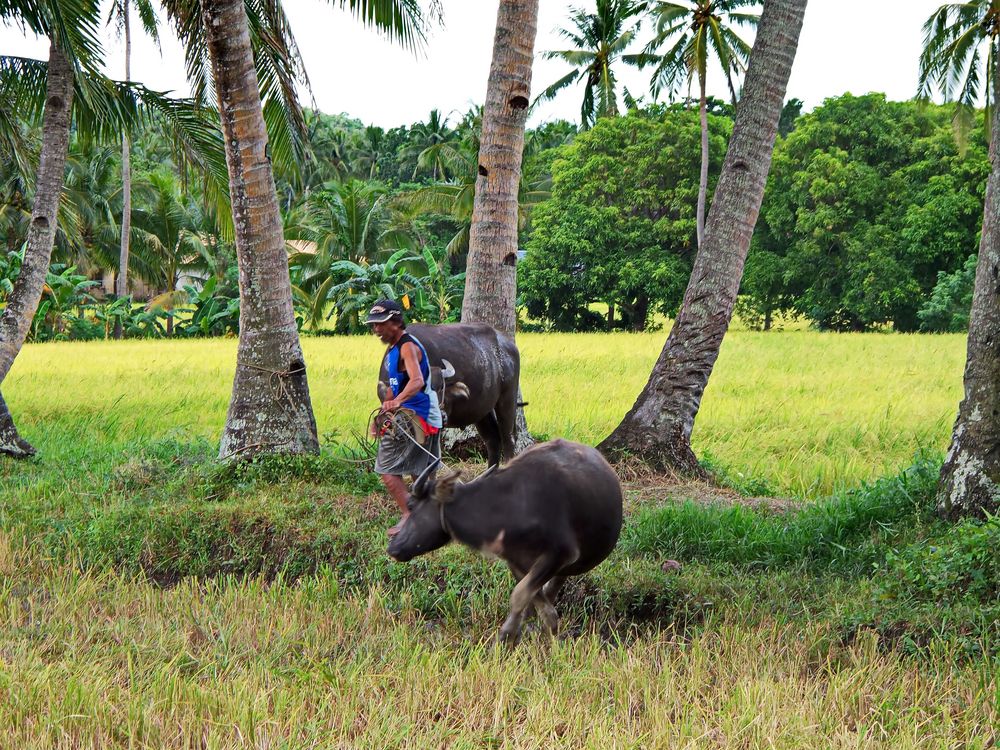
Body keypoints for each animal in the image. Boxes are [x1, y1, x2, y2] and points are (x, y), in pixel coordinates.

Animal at [374, 322, 520, 468]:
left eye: (441, 388)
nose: (441, 416)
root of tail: (509, 345)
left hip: (508, 398)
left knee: (508, 439)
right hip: (482, 409)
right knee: (493, 439)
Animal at [386, 440, 620, 648]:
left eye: (411, 504)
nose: (392, 547)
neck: (513, 506)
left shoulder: (559, 555)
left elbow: (522, 597)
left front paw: (506, 639)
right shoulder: (514, 560)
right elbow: (532, 600)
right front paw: (514, 638)